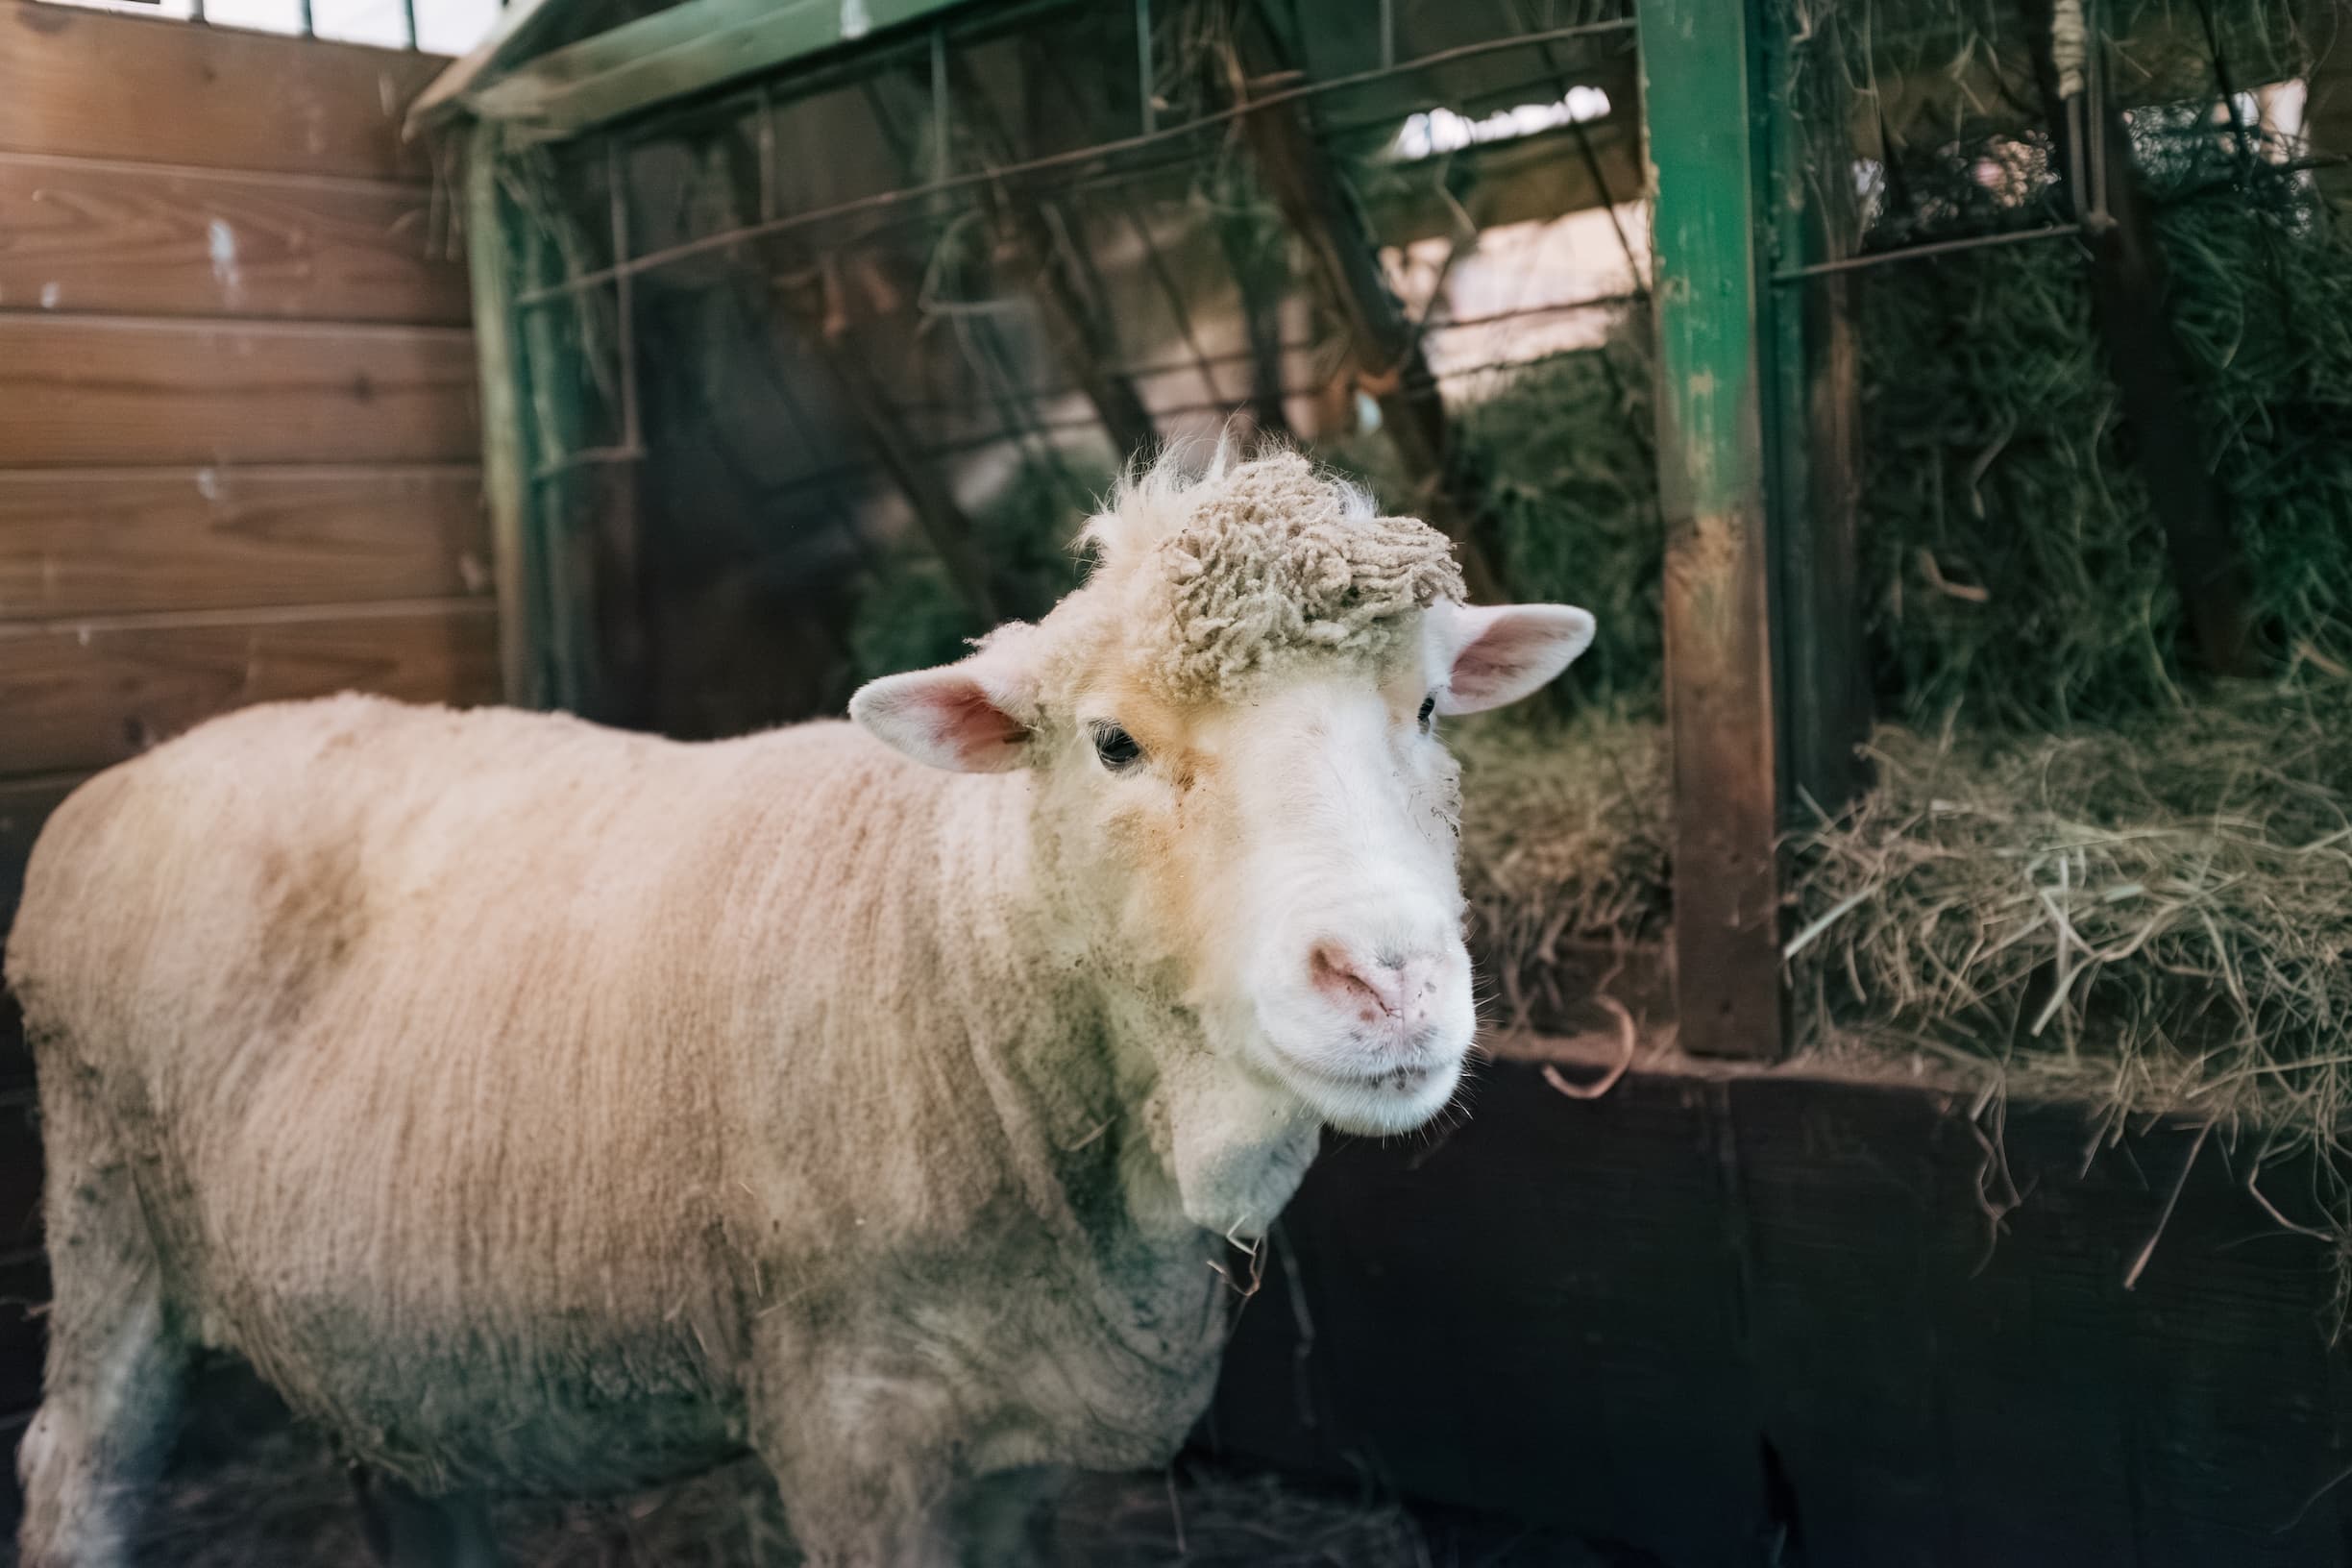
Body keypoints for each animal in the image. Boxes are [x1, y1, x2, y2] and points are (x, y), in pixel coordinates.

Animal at [5, 450, 1594, 1568]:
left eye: (1432, 711)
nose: (1389, 979)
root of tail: (125, 777)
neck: (964, 954)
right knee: (73, 1466)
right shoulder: (851, 1419)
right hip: (105, 1219)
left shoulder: (1017, 1437)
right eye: (1113, 744)